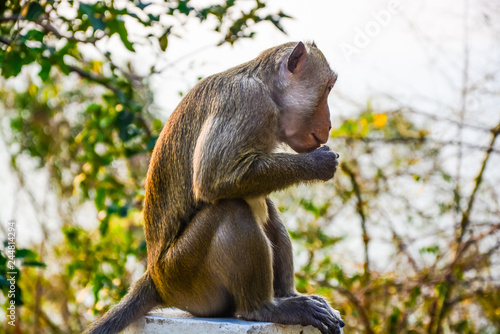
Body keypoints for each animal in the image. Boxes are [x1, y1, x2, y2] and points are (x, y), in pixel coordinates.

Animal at [85, 41, 344, 334]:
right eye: (328, 88)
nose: (330, 124)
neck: (268, 89)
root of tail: (154, 278)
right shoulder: (248, 102)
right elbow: (214, 177)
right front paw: (318, 164)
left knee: (262, 206)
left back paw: (287, 296)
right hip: (184, 275)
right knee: (231, 208)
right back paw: (263, 308)